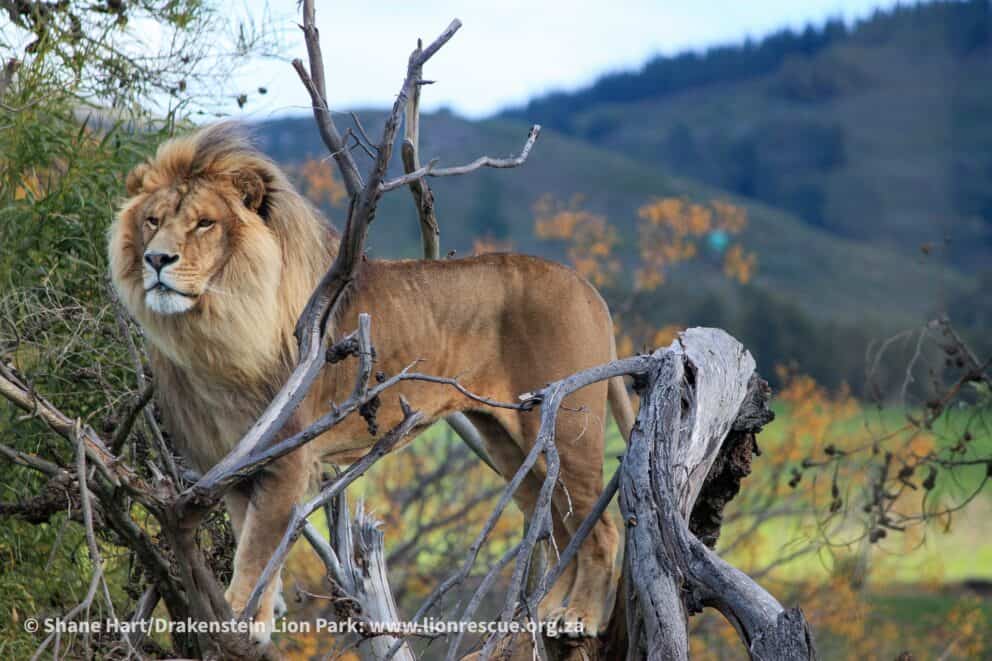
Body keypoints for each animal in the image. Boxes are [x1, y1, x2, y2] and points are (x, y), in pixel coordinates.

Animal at [108, 123, 635, 646]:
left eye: (204, 223)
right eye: (153, 220)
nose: (157, 259)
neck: (213, 327)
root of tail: (589, 290)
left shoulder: (285, 456)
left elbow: (259, 547)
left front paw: (242, 619)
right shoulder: (231, 461)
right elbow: (247, 537)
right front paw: (261, 610)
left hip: (566, 429)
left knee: (602, 526)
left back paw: (578, 616)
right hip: (510, 443)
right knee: (561, 523)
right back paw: (546, 610)